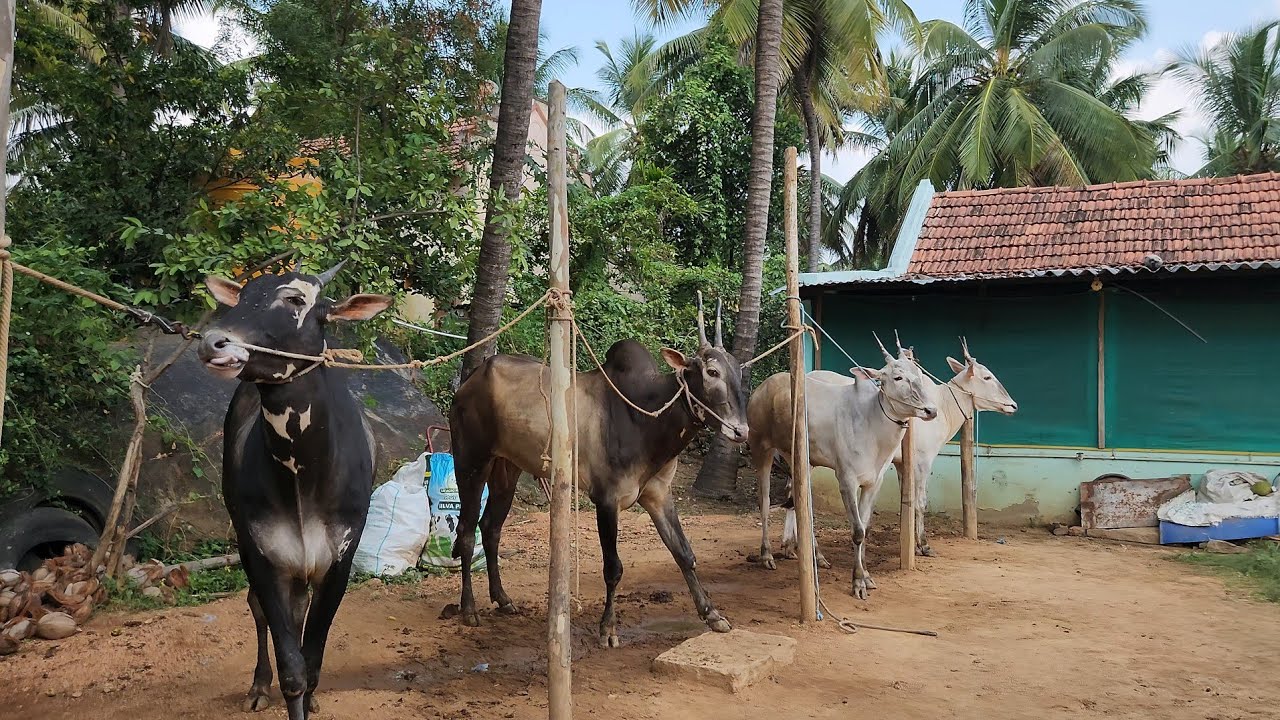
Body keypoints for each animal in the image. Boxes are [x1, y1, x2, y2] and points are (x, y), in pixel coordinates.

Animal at [198, 263, 391, 720]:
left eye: (295, 299)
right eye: (242, 295)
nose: (214, 342)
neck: (303, 479)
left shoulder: (340, 560)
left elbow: (312, 661)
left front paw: (313, 694)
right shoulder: (261, 554)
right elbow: (292, 670)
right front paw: (277, 686)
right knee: (258, 608)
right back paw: (257, 686)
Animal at [446, 298, 749, 647]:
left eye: (739, 373)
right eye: (712, 372)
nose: (741, 431)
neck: (646, 417)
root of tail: (469, 381)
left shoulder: (658, 494)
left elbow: (684, 553)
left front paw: (712, 614)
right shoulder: (606, 499)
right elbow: (613, 568)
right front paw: (608, 628)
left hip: (506, 468)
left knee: (491, 527)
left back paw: (503, 599)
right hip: (471, 460)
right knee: (466, 530)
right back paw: (469, 609)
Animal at [748, 335, 937, 600]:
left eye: (918, 374)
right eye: (898, 377)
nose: (931, 410)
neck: (871, 421)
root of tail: (763, 387)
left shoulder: (873, 482)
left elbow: (865, 528)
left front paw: (866, 576)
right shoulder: (846, 480)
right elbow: (857, 531)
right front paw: (857, 582)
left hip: (800, 459)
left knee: (801, 504)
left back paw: (816, 556)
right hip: (761, 449)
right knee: (764, 501)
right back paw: (766, 555)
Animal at [897, 339, 1017, 557]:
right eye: (987, 376)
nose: (1013, 405)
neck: (941, 405)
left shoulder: (901, 464)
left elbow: (906, 503)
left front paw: (911, 544)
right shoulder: (922, 462)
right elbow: (920, 502)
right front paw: (924, 545)